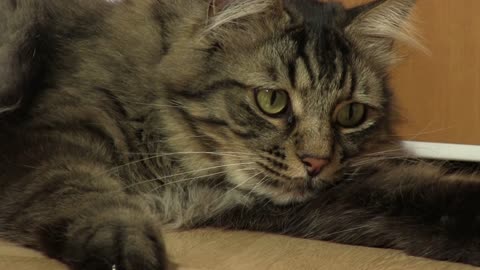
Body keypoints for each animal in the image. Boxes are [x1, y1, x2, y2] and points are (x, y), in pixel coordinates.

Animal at [0, 0, 480, 268]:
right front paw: (124, 245)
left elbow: (424, 193)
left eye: (350, 113)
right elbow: (84, 194)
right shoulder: (55, 140)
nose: (316, 163)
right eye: (272, 101)